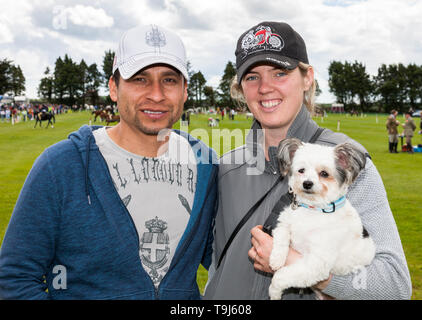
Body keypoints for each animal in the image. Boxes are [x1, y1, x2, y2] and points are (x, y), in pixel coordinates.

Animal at [268, 139, 374, 300]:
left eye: (324, 173)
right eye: (301, 170)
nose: (307, 183)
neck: (313, 209)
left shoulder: (316, 264)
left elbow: (281, 276)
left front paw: (274, 292)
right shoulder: (285, 223)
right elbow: (281, 235)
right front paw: (277, 258)